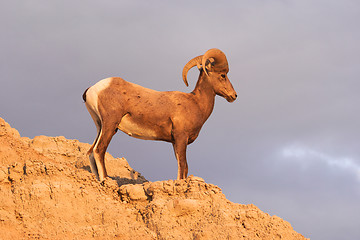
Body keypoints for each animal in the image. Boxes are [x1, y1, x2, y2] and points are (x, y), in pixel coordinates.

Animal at [83, 47, 238, 181]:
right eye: (223, 75)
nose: (234, 95)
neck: (196, 103)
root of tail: (93, 89)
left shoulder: (175, 142)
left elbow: (183, 167)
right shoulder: (181, 138)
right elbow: (183, 166)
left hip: (101, 126)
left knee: (90, 152)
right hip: (110, 124)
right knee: (99, 150)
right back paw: (106, 179)